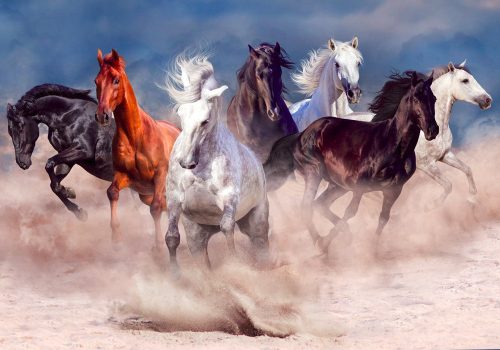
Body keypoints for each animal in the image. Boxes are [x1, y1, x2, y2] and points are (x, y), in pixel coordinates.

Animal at [5, 83, 114, 220]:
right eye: (10, 131)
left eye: (20, 126)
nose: (22, 163)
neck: (68, 116)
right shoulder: (68, 157)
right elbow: (53, 185)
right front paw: (77, 208)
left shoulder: (84, 150)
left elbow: (49, 163)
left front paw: (68, 192)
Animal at [94, 49, 180, 250]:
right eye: (96, 81)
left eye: (116, 79)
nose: (102, 115)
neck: (136, 136)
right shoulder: (125, 175)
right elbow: (112, 192)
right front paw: (116, 238)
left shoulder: (160, 175)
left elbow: (156, 208)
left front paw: (158, 247)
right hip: (145, 194)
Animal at [163, 53, 270, 272]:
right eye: (180, 113)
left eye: (205, 121)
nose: (186, 162)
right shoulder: (174, 198)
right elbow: (171, 237)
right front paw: (174, 273)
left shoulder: (229, 198)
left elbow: (227, 228)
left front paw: (235, 264)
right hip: (197, 235)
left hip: (257, 220)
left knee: (261, 245)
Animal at [266, 72, 438, 252]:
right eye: (416, 98)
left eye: (433, 99)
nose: (432, 130)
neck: (392, 145)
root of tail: (302, 135)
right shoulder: (360, 186)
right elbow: (350, 212)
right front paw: (328, 242)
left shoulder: (394, 190)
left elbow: (384, 218)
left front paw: (372, 250)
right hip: (314, 172)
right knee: (306, 207)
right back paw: (320, 242)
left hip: (337, 185)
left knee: (319, 204)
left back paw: (344, 235)